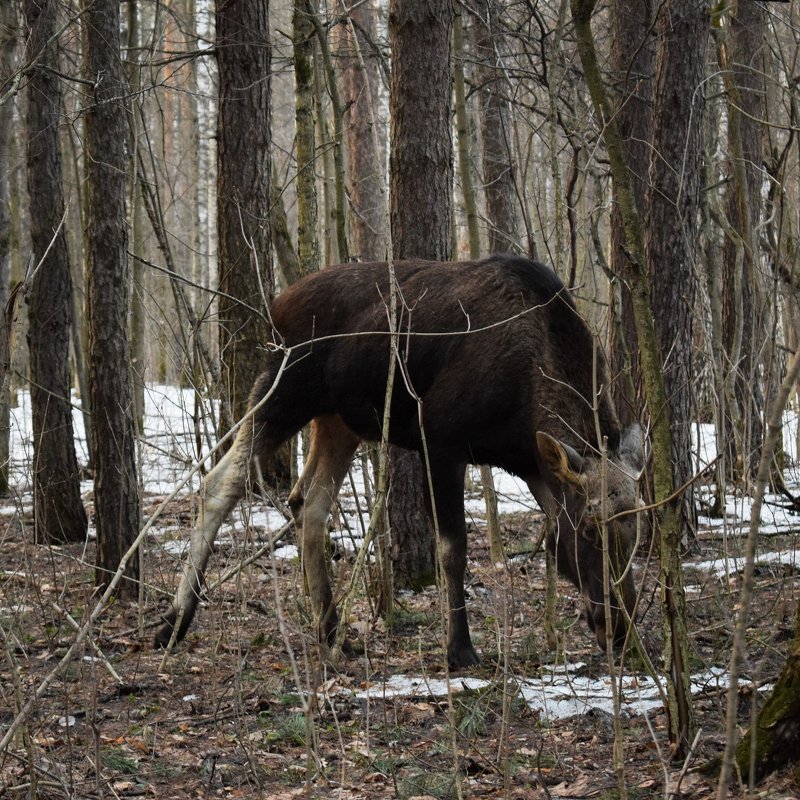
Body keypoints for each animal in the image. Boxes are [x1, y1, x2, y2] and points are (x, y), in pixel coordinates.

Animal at [155, 256, 644, 668]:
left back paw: (330, 630)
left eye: (640, 528)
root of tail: (277, 305)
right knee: (220, 481)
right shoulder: (441, 441)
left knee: (307, 501)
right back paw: (174, 622)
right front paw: (459, 649)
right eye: (590, 529)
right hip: (285, 387)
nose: (621, 628)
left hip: (338, 420)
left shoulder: (531, 463)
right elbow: (453, 550)